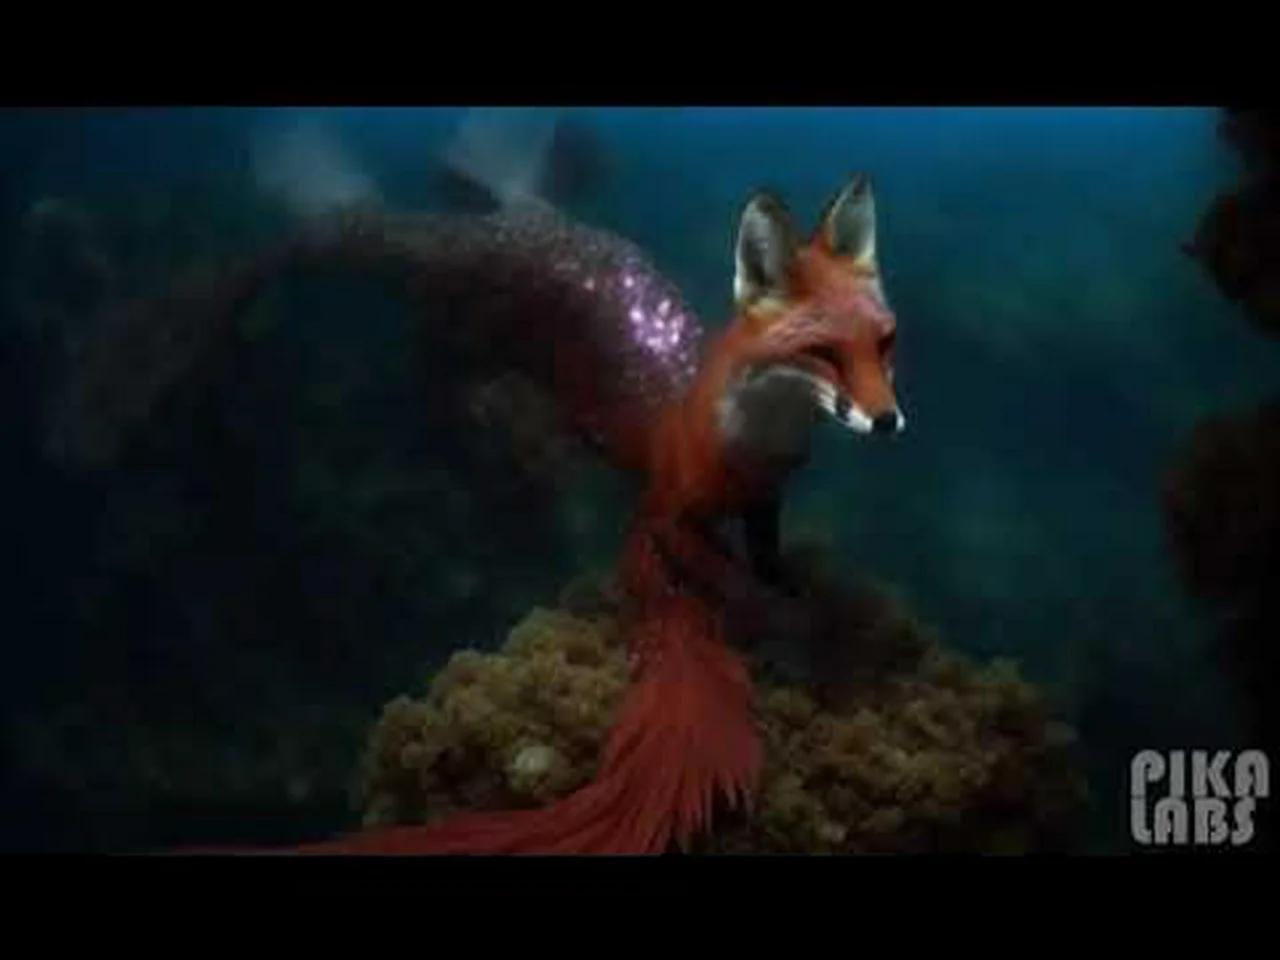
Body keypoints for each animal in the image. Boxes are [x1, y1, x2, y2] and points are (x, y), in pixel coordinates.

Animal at [45, 159, 903, 853]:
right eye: (821, 352)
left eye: (886, 343)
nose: (888, 420)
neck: (736, 440)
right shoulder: (665, 507)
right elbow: (719, 576)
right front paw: (800, 629)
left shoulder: (766, 501)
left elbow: (768, 559)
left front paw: (800, 599)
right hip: (455, 324)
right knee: (430, 363)